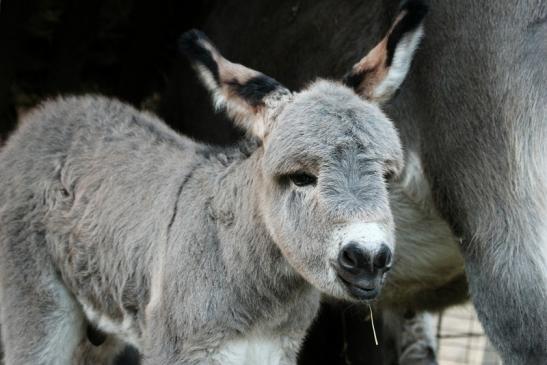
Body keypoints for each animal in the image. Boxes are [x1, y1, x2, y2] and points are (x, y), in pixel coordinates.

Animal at [0, 6, 426, 364]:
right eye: (301, 177)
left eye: (387, 177)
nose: (368, 260)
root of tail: (50, 112)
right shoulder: (180, 349)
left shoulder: (274, 352)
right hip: (40, 308)